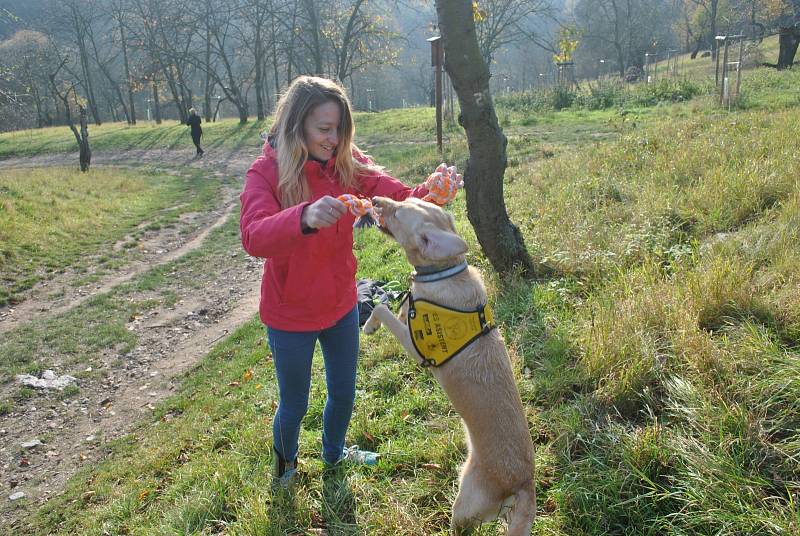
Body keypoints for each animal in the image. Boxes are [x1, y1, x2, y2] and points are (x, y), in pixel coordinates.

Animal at [364, 197, 536, 536]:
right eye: (405, 199)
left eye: (399, 212)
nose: (376, 200)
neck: (443, 272)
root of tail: (526, 483)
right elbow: (398, 305)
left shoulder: (417, 350)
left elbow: (382, 308)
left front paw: (369, 325)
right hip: (505, 515)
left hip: (464, 505)